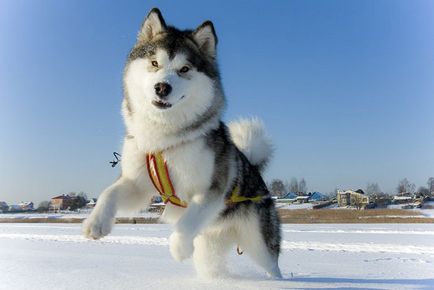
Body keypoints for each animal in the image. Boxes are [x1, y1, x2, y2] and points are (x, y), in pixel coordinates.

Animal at [82, 7, 284, 278]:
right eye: (154, 63)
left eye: (185, 69)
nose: (162, 87)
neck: (164, 138)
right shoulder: (137, 185)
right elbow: (109, 192)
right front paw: (95, 223)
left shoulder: (212, 189)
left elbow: (188, 220)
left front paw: (179, 247)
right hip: (210, 247)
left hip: (260, 242)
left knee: (272, 265)